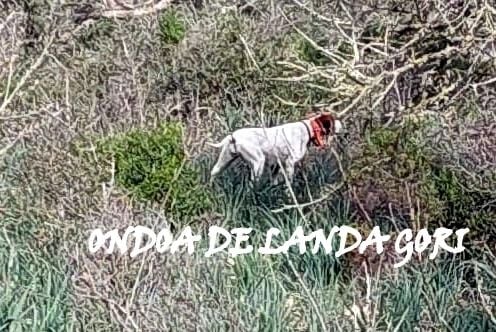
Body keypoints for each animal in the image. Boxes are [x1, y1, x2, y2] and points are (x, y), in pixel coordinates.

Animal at [207, 111, 342, 184]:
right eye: (333, 120)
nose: (341, 124)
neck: (306, 130)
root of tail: (233, 136)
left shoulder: (276, 166)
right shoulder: (289, 163)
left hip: (225, 159)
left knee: (213, 171)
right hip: (258, 162)